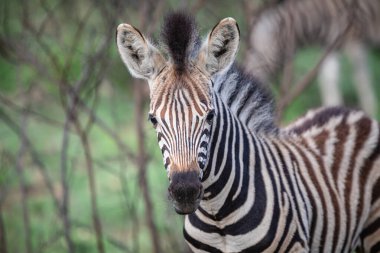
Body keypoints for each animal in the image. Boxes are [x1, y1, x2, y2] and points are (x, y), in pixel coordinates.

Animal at [245, 0, 378, 116]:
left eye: (257, 53)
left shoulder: (355, 42)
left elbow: (362, 81)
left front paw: (372, 113)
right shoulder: (329, 47)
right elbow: (328, 81)